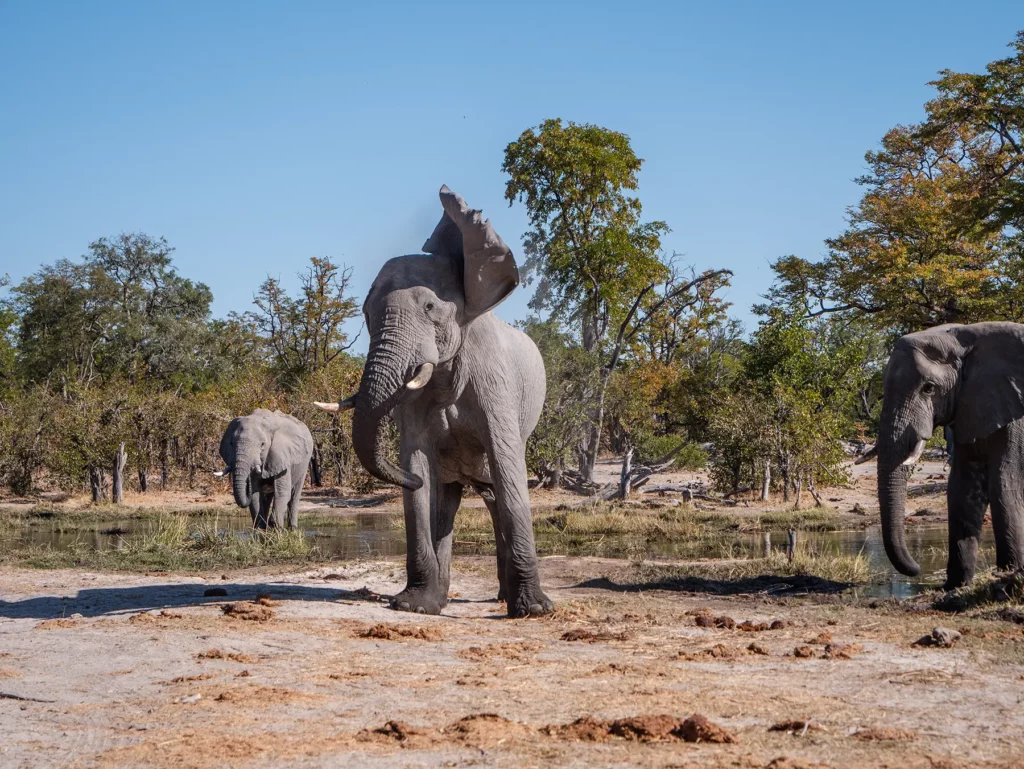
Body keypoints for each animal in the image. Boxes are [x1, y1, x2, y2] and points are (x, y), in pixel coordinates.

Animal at [313, 186, 550, 618]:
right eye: (365, 312)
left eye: (429, 308)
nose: (411, 481)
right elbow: (416, 457)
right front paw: (414, 606)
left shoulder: (495, 382)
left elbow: (507, 465)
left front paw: (535, 611)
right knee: (450, 502)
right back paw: (444, 596)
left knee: (495, 495)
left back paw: (505, 598)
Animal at [871, 322, 1024, 589]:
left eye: (929, 388)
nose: (917, 569)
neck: (966, 339)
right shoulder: (970, 405)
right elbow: (962, 488)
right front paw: (955, 585)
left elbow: (1004, 483)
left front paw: (1007, 574)